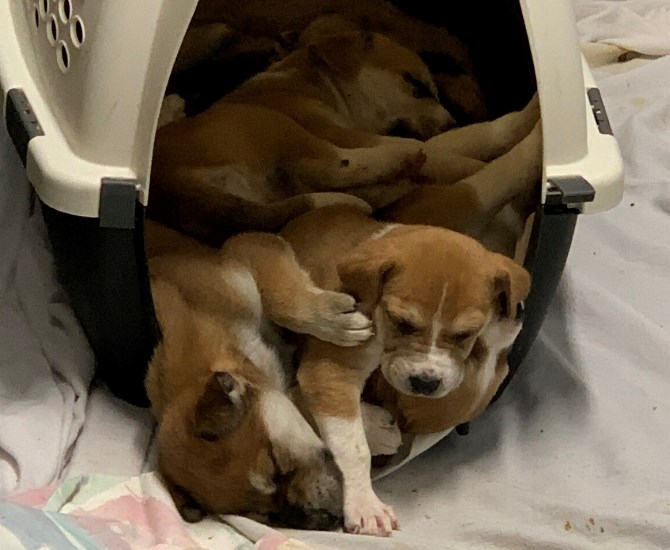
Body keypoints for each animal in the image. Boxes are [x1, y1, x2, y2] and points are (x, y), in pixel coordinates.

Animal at [144, 218, 376, 532]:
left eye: (277, 468)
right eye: (266, 515)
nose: (326, 519)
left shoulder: (249, 248)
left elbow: (283, 302)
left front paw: (336, 321)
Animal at [280, 205, 532, 536]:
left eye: (465, 335)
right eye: (403, 323)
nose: (517, 311)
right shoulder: (330, 368)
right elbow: (352, 444)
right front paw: (365, 503)